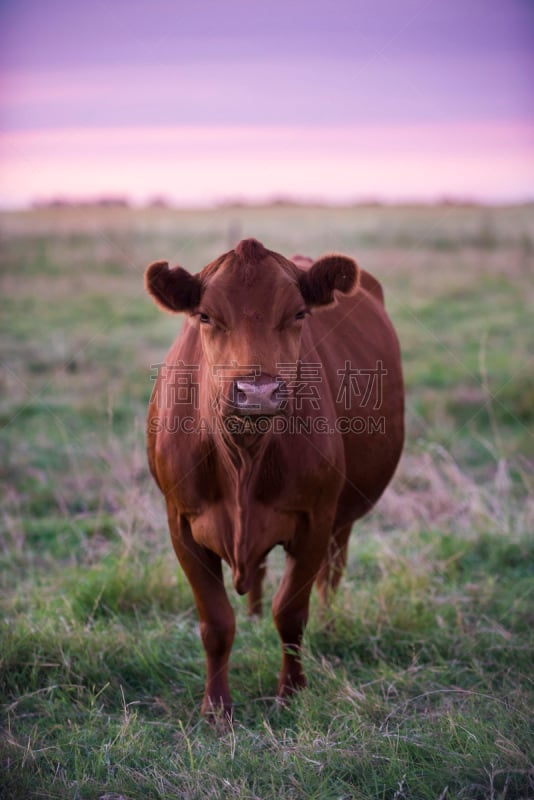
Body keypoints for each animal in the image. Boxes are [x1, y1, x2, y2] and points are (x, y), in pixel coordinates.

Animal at [144, 239, 404, 720]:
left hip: (342, 517)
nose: (257, 392)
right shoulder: (181, 523)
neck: (243, 458)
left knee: (332, 572)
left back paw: (331, 626)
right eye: (205, 316)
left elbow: (291, 613)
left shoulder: (315, 518)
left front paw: (292, 692)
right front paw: (216, 707)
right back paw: (252, 614)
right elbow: (215, 622)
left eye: (298, 313)